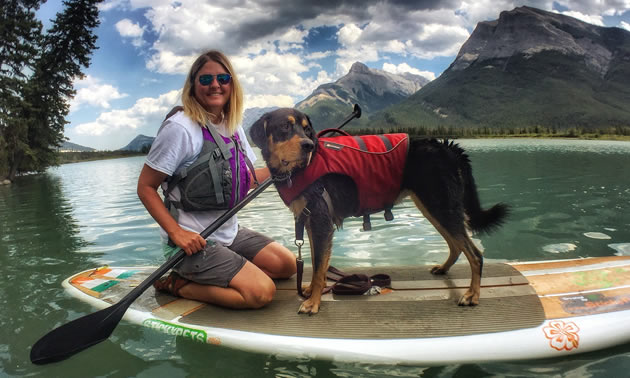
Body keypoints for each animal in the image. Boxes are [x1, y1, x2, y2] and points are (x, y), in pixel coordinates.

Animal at [249, 108, 512, 314]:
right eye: (285, 126)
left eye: (306, 130)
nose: (309, 145)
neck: (300, 169)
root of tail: (447, 147)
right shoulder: (311, 222)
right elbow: (317, 264)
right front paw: (313, 291)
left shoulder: (321, 222)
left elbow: (318, 266)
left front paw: (313, 302)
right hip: (432, 207)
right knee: (457, 245)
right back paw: (444, 269)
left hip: (441, 207)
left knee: (475, 254)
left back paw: (472, 295)